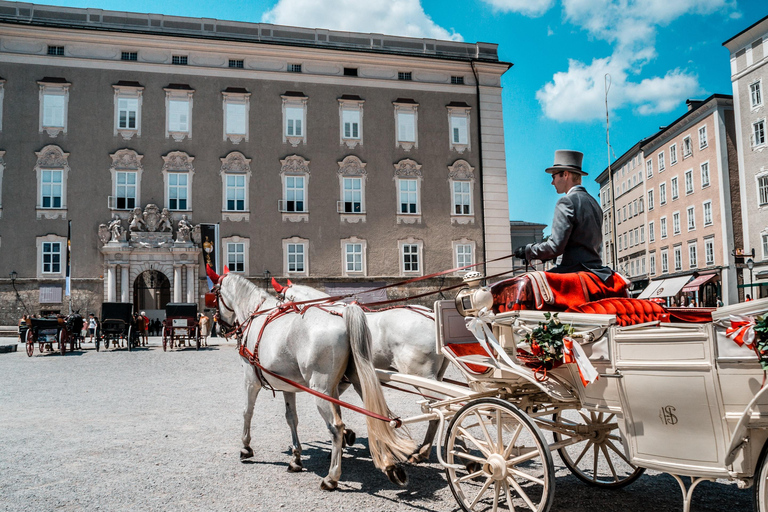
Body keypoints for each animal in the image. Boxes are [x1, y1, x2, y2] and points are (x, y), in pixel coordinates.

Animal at [272, 280, 450, 464]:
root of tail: (432, 317)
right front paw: (345, 437)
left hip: (422, 376)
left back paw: (424, 451)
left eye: (280, 301)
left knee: (442, 408)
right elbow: (338, 406)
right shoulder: (342, 381)